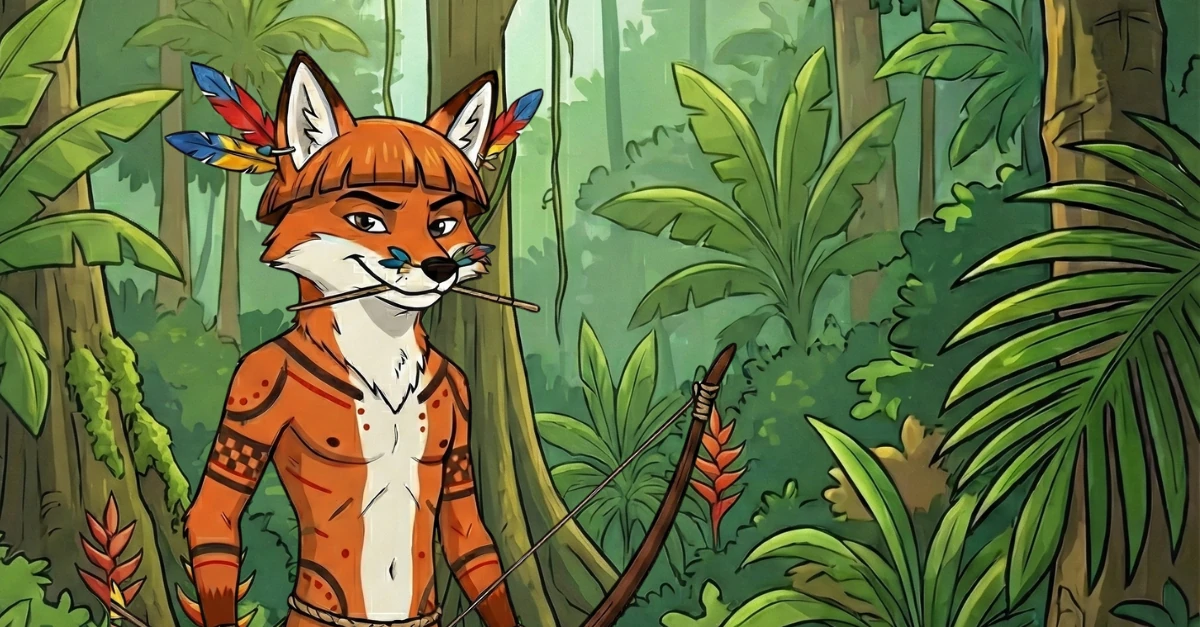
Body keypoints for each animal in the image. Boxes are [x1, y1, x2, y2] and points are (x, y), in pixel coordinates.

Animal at [181, 51, 521, 627]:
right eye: (367, 220)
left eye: (443, 224)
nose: (438, 268)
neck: (383, 350)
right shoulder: (253, 383)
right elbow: (215, 517)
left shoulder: (460, 403)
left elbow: (472, 541)